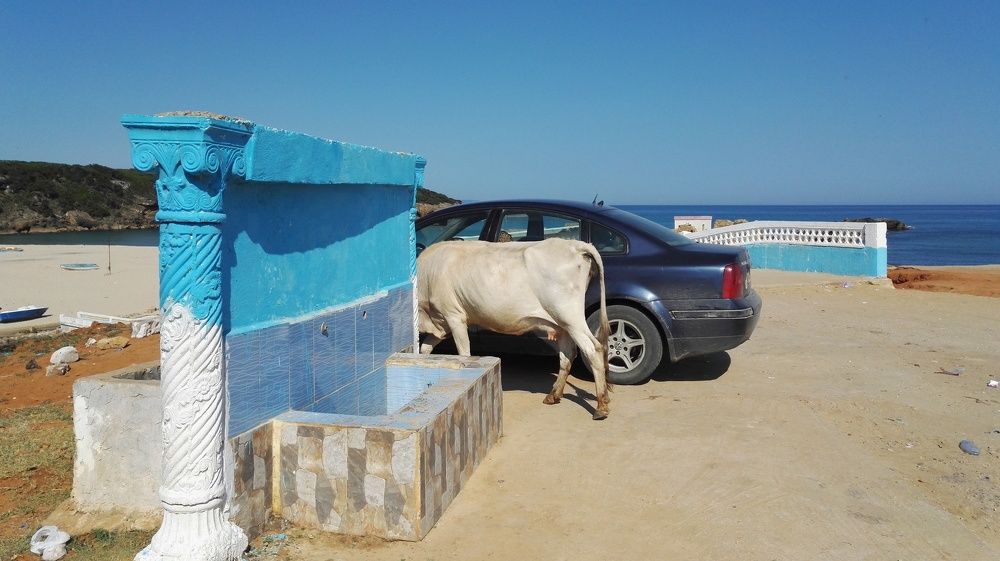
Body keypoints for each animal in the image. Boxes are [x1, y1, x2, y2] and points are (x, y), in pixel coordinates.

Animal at [417, 238, 613, 419]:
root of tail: (575, 244)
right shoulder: (441, 322)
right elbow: (424, 349)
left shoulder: (454, 316)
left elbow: (464, 353)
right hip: (562, 323)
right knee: (567, 355)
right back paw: (554, 395)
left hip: (570, 316)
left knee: (593, 349)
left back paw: (601, 406)